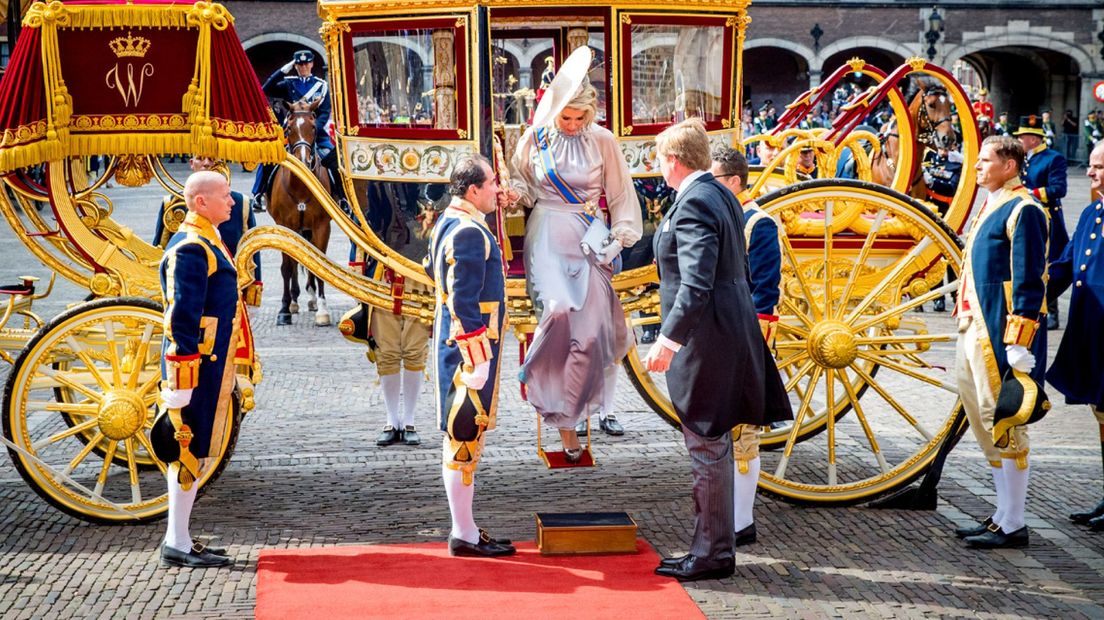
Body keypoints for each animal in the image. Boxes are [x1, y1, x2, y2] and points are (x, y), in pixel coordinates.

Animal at [267, 98, 331, 326]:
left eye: (313, 127)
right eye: (288, 128)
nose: (302, 162)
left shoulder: (322, 225)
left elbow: (319, 265)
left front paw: (323, 310)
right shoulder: (284, 224)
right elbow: (287, 266)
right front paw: (284, 310)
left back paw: (311, 299)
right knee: (295, 262)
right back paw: (294, 301)